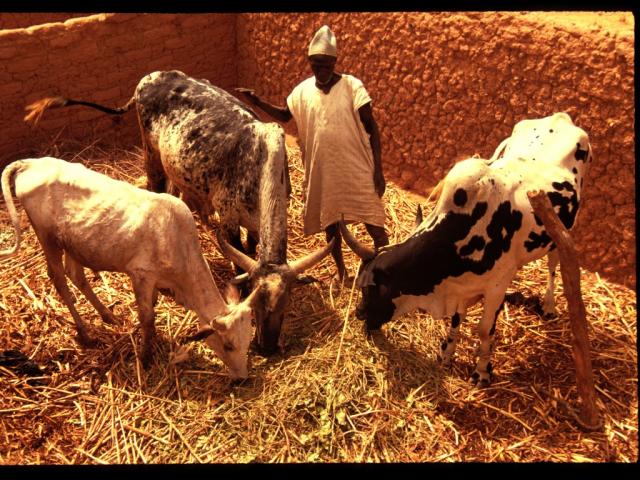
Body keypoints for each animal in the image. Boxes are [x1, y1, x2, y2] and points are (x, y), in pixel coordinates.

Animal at [2, 158, 258, 378]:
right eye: (228, 345)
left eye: (248, 340)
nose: (242, 378)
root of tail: (31, 163)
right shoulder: (141, 275)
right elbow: (148, 317)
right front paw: (145, 357)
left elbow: (152, 305)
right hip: (47, 238)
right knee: (58, 279)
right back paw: (85, 333)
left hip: (73, 244)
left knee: (76, 275)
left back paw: (108, 316)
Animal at [23, 71, 336, 356]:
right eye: (257, 306)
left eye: (285, 305)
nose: (268, 348)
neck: (260, 161)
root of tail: (151, 76)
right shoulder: (230, 220)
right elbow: (239, 264)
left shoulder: (254, 225)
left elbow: (250, 248)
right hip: (152, 157)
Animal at [342, 112, 592, 386]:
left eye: (369, 288)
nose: (359, 314)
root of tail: (560, 117)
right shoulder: (461, 288)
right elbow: (456, 321)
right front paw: (446, 355)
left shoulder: (495, 288)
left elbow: (484, 331)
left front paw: (482, 371)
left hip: (564, 228)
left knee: (553, 265)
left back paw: (549, 305)